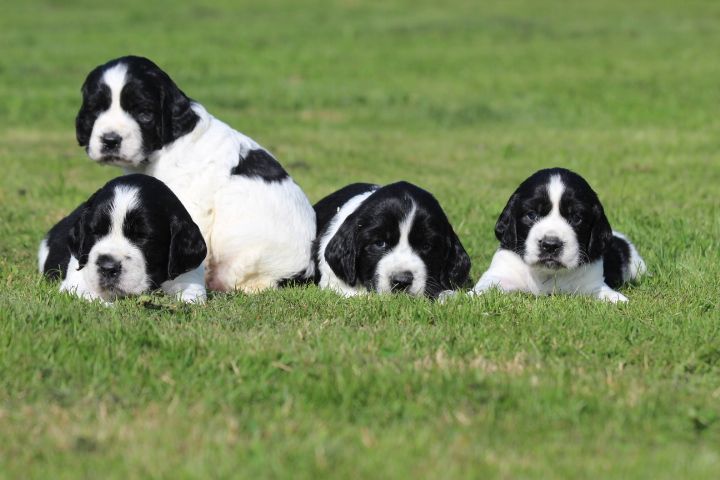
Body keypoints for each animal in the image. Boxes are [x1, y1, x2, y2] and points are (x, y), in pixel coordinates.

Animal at [472, 168, 648, 304]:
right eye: (531, 215)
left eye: (576, 218)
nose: (550, 245)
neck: (547, 273)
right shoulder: (501, 272)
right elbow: (483, 289)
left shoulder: (592, 284)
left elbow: (607, 294)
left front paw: (619, 301)